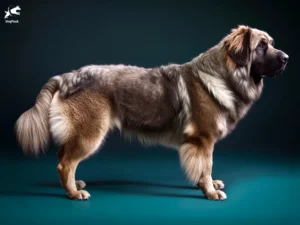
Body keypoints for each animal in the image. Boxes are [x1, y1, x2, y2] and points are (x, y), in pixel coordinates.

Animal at [15, 25, 288, 200]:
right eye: (261, 46)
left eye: (272, 44)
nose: (286, 57)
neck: (225, 74)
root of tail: (67, 77)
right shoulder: (203, 139)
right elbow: (206, 166)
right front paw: (210, 191)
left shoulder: (200, 143)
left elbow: (204, 168)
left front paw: (207, 184)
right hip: (90, 133)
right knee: (65, 163)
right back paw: (73, 192)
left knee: (63, 156)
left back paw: (72, 184)